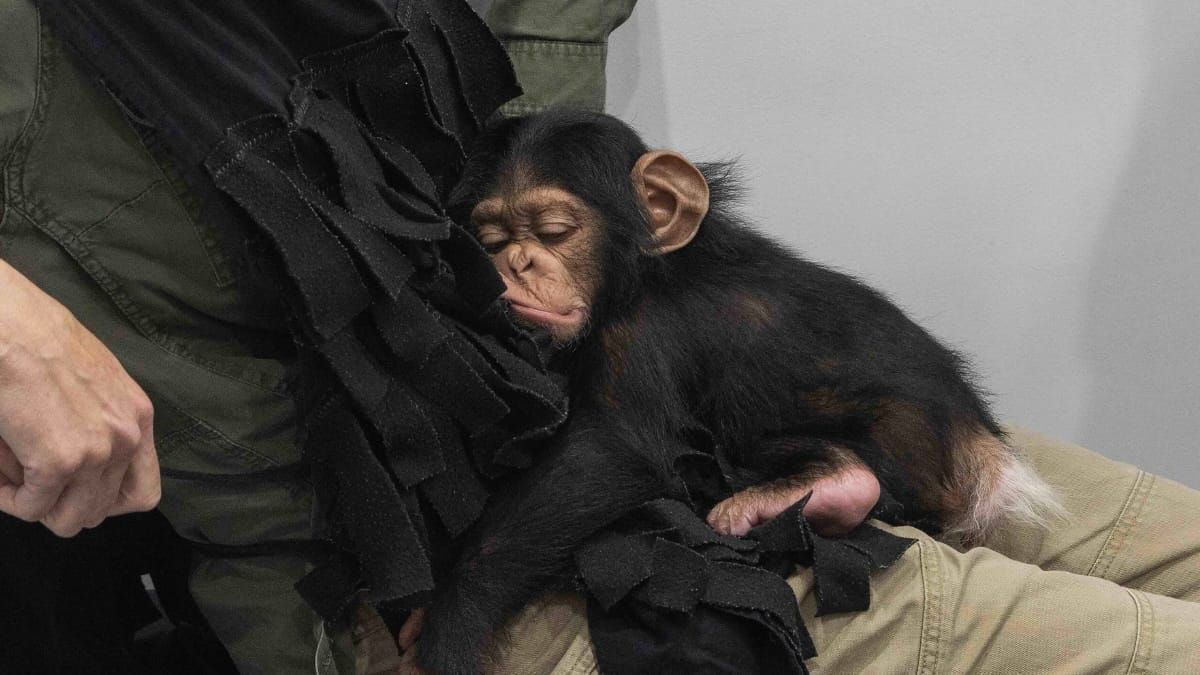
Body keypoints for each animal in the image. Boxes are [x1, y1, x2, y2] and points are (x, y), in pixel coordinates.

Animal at [410, 108, 1061, 673]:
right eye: (493, 238)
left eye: (554, 232)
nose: (517, 263)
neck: (645, 271)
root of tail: (979, 443)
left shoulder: (640, 331)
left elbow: (610, 450)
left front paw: (454, 621)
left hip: (895, 441)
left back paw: (823, 485)